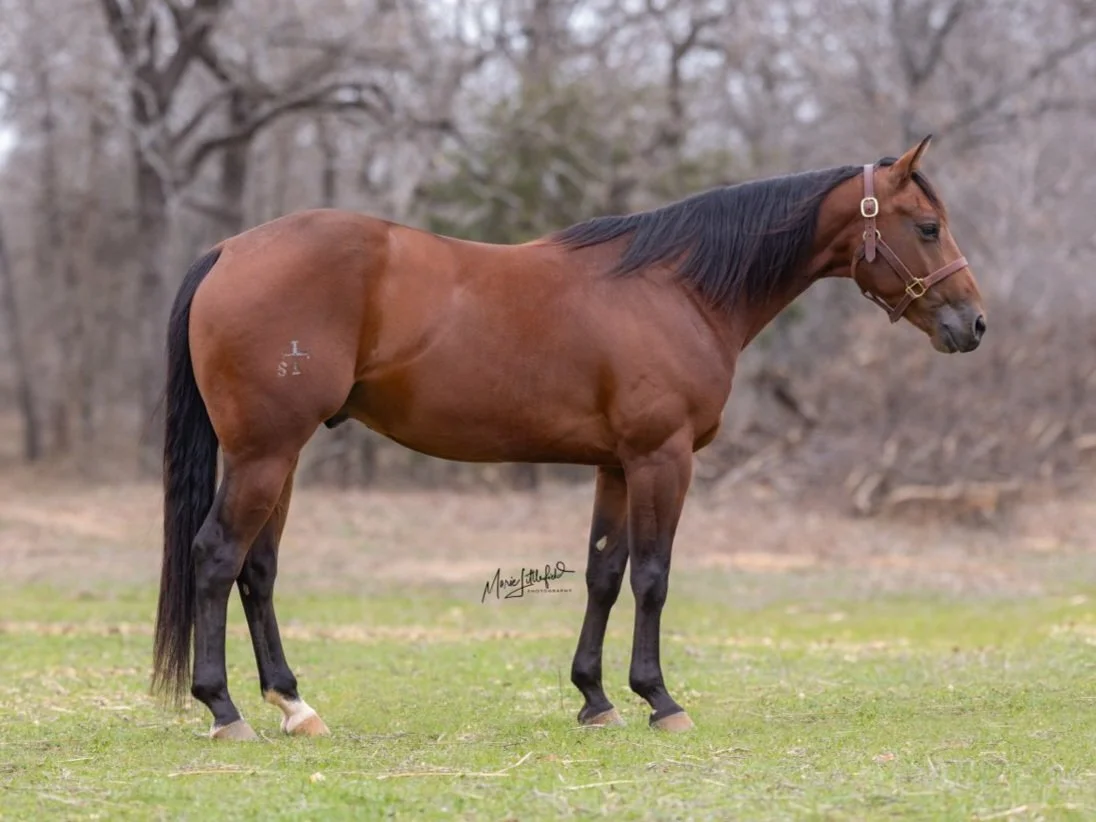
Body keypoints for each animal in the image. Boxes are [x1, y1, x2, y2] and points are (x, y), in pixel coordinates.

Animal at [151, 135, 986, 740]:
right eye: (928, 226)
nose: (974, 324)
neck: (678, 288)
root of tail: (229, 251)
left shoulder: (615, 466)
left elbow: (604, 574)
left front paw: (595, 698)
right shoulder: (662, 459)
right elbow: (653, 576)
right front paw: (659, 699)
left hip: (281, 457)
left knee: (258, 571)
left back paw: (295, 707)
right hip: (264, 454)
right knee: (217, 557)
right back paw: (223, 710)